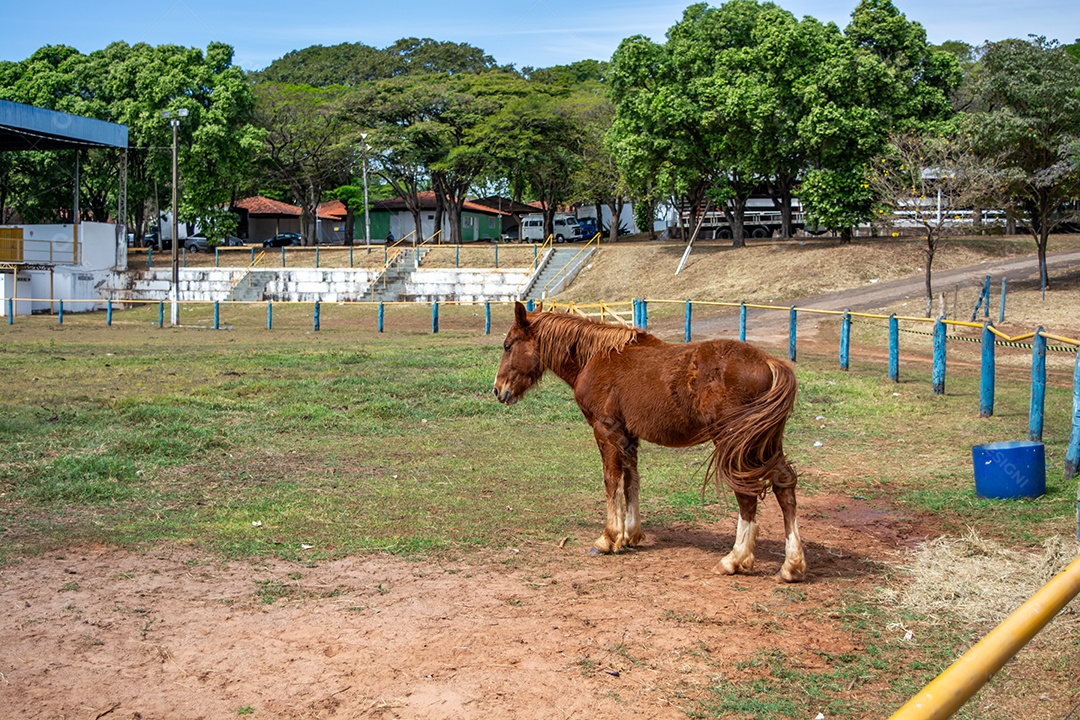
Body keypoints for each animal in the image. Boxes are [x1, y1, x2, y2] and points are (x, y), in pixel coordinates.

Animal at [492, 302, 805, 582]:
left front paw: (608, 538)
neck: (596, 358)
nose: (498, 390)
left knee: (747, 493)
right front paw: (630, 534)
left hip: (733, 444)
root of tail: (769, 362)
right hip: (763, 444)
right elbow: (631, 480)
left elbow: (611, 480)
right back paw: (791, 565)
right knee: (783, 482)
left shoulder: (606, 430)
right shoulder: (628, 436)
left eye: (508, 346)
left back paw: (735, 559)